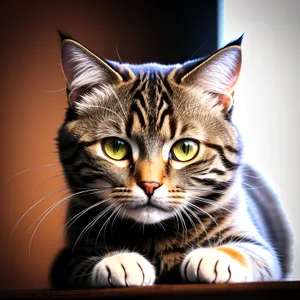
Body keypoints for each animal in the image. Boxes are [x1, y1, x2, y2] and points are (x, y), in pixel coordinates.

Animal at [49, 32, 292, 288]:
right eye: (116, 147)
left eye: (185, 149)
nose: (150, 185)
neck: (156, 235)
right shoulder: (66, 261)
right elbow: (82, 264)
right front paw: (118, 260)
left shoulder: (260, 247)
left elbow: (250, 252)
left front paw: (215, 256)